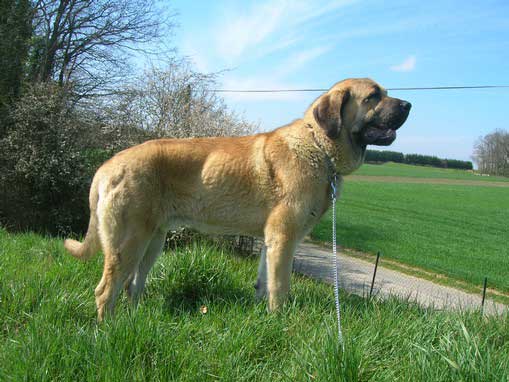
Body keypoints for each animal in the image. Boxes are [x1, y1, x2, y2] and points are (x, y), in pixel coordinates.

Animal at [65, 77, 410, 320]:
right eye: (373, 96)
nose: (408, 104)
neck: (319, 146)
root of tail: (107, 166)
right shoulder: (284, 239)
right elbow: (280, 287)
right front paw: (281, 322)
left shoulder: (272, 242)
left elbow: (264, 283)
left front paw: (265, 319)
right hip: (129, 242)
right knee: (105, 290)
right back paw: (108, 331)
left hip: (153, 241)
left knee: (132, 286)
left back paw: (134, 323)